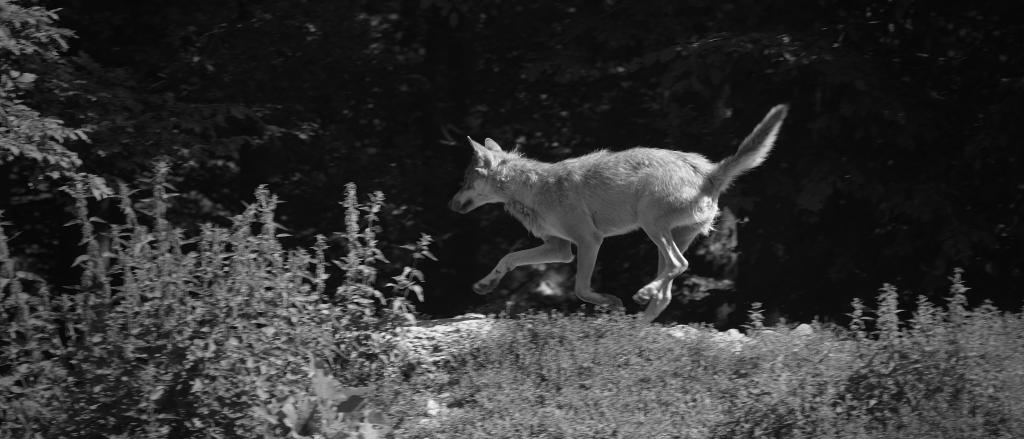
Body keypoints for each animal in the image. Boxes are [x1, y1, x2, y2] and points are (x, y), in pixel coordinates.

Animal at [449, 104, 789, 323]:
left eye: (464, 180)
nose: (450, 205)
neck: (534, 187)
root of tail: (709, 171)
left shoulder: (588, 242)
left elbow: (581, 289)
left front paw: (611, 303)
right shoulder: (560, 249)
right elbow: (508, 259)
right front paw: (485, 285)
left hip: (653, 228)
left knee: (679, 265)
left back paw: (641, 295)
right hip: (668, 236)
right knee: (667, 291)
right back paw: (635, 328)